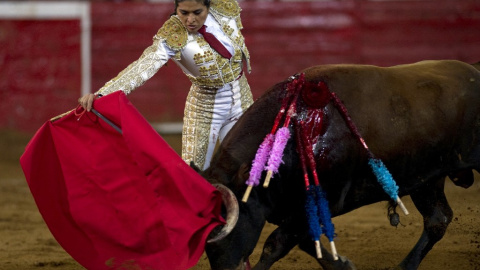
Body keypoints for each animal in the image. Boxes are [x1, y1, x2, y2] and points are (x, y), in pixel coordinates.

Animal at [199, 59, 480, 270]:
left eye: (226, 228)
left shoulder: (320, 202)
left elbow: (275, 244)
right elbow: (305, 242)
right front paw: (343, 265)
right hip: (426, 179)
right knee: (437, 219)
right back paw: (404, 266)